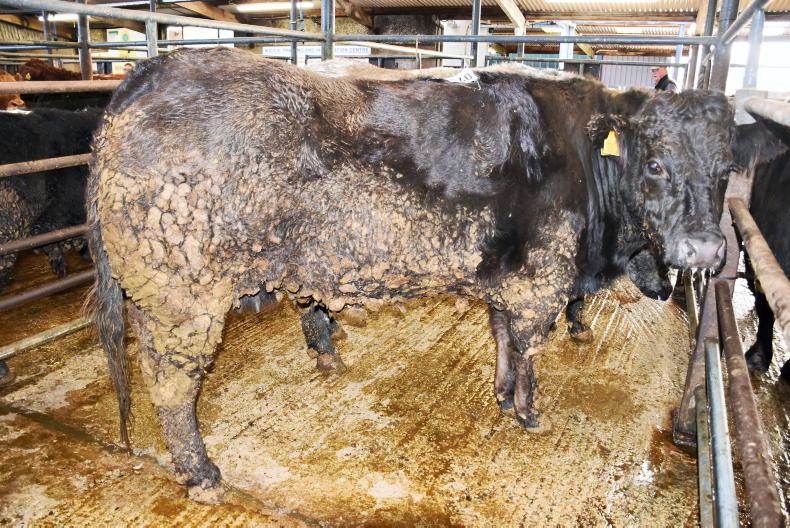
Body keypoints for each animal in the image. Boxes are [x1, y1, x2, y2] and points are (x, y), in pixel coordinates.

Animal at [88, 47, 735, 501]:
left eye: (727, 168)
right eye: (655, 163)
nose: (705, 249)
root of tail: (161, 68)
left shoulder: (506, 275)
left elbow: (501, 334)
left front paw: (502, 394)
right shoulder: (541, 278)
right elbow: (528, 345)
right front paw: (528, 411)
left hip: (161, 296)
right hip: (185, 295)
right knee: (173, 386)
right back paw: (201, 472)